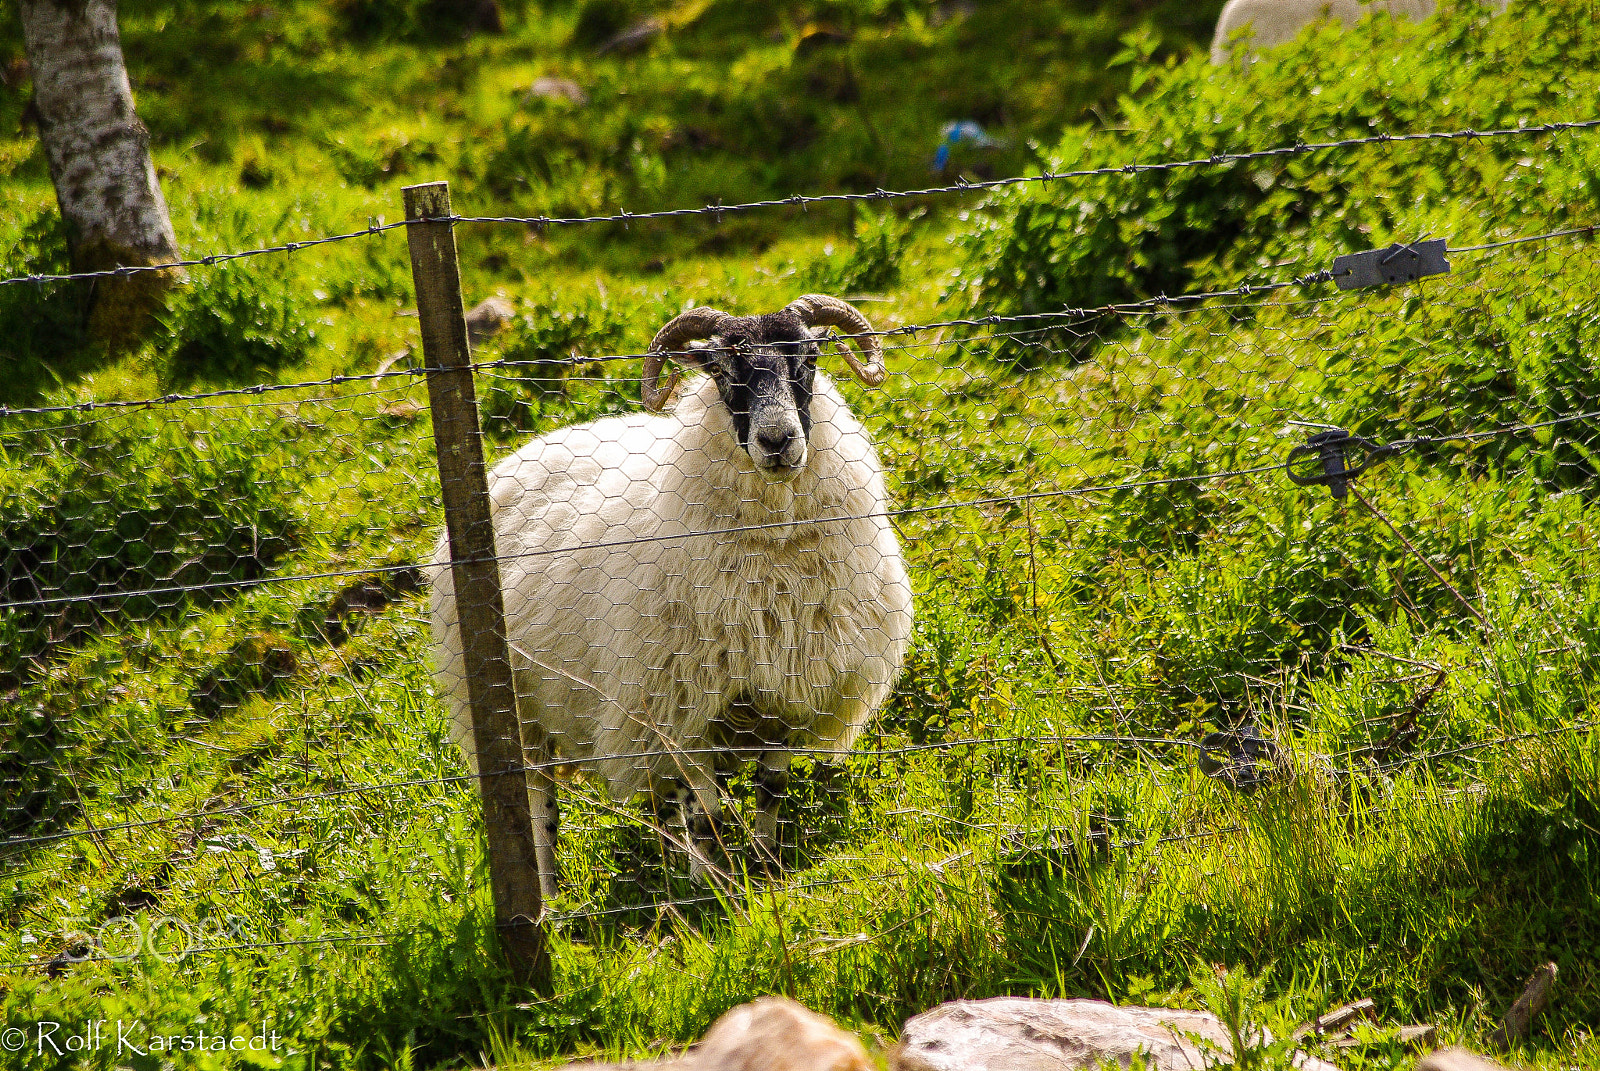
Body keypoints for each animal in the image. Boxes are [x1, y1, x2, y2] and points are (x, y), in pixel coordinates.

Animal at [428, 292, 915, 896]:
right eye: (721, 372)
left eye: (806, 359)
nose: (777, 442)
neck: (774, 554)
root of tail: (522, 453)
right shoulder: (681, 711)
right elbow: (707, 812)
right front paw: (722, 892)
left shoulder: (785, 695)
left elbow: (768, 792)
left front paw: (764, 869)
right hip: (517, 709)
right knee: (541, 804)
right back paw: (552, 893)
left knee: (661, 801)